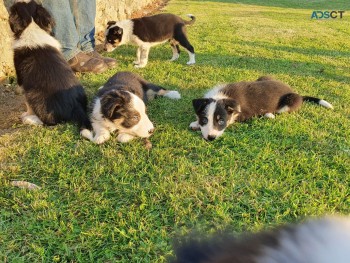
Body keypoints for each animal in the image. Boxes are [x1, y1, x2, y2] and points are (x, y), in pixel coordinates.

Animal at [8, 0, 91, 134]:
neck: (32, 27)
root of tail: (76, 107)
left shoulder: (21, 78)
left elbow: (27, 103)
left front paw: (27, 114)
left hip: (34, 94)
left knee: (49, 121)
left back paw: (30, 120)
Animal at [191, 76, 334, 141]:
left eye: (221, 121)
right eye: (204, 120)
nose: (211, 138)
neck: (222, 97)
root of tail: (298, 94)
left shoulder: (243, 113)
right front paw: (196, 123)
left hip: (289, 102)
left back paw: (269, 115)